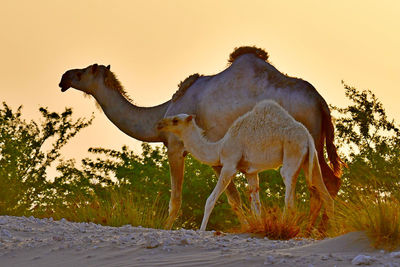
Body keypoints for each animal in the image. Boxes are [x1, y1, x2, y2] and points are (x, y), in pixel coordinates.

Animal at [158, 99, 332, 231]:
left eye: (175, 120)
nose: (160, 123)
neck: (220, 147)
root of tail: (307, 136)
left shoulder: (229, 164)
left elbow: (210, 200)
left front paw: (201, 231)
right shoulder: (251, 172)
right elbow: (256, 206)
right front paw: (258, 227)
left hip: (292, 152)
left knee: (289, 194)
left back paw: (286, 227)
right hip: (310, 160)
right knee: (326, 195)